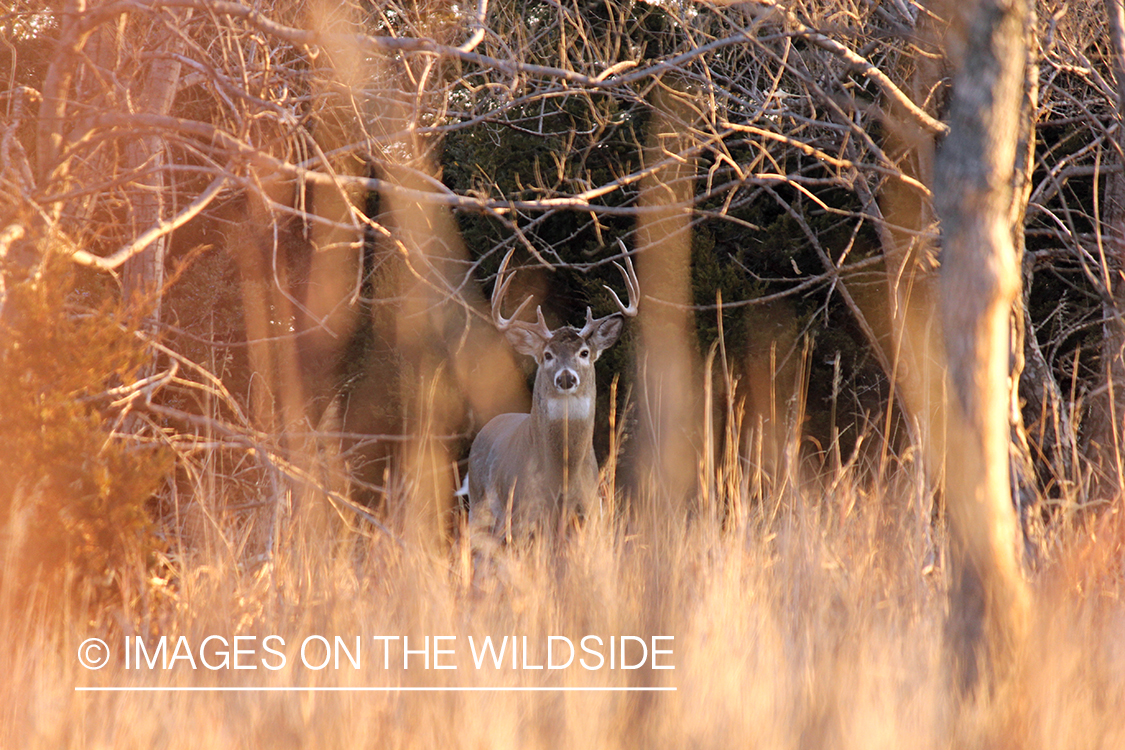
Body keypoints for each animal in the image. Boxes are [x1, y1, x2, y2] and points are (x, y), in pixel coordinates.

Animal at [465, 246, 643, 546]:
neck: (563, 476)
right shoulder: (525, 513)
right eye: (547, 355)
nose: (566, 377)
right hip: (482, 510)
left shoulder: (590, 513)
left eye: (584, 352)